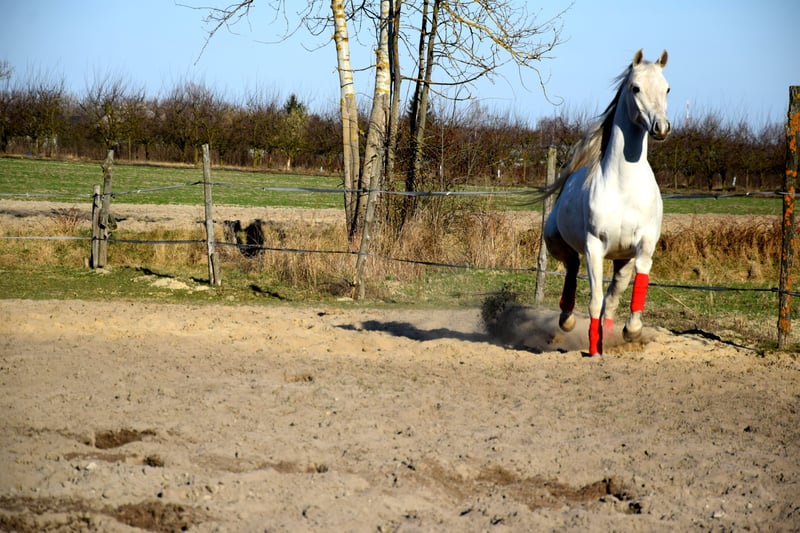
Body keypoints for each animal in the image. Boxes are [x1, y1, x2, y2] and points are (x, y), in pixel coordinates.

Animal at [543, 49, 671, 356]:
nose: (661, 127)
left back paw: (608, 336)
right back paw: (567, 321)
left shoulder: (644, 245)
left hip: (621, 260)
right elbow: (594, 300)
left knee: (611, 299)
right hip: (555, 243)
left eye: (667, 88)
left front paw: (631, 331)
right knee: (572, 267)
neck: (624, 187)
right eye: (636, 88)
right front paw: (593, 349)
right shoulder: (594, 247)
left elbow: (628, 289)